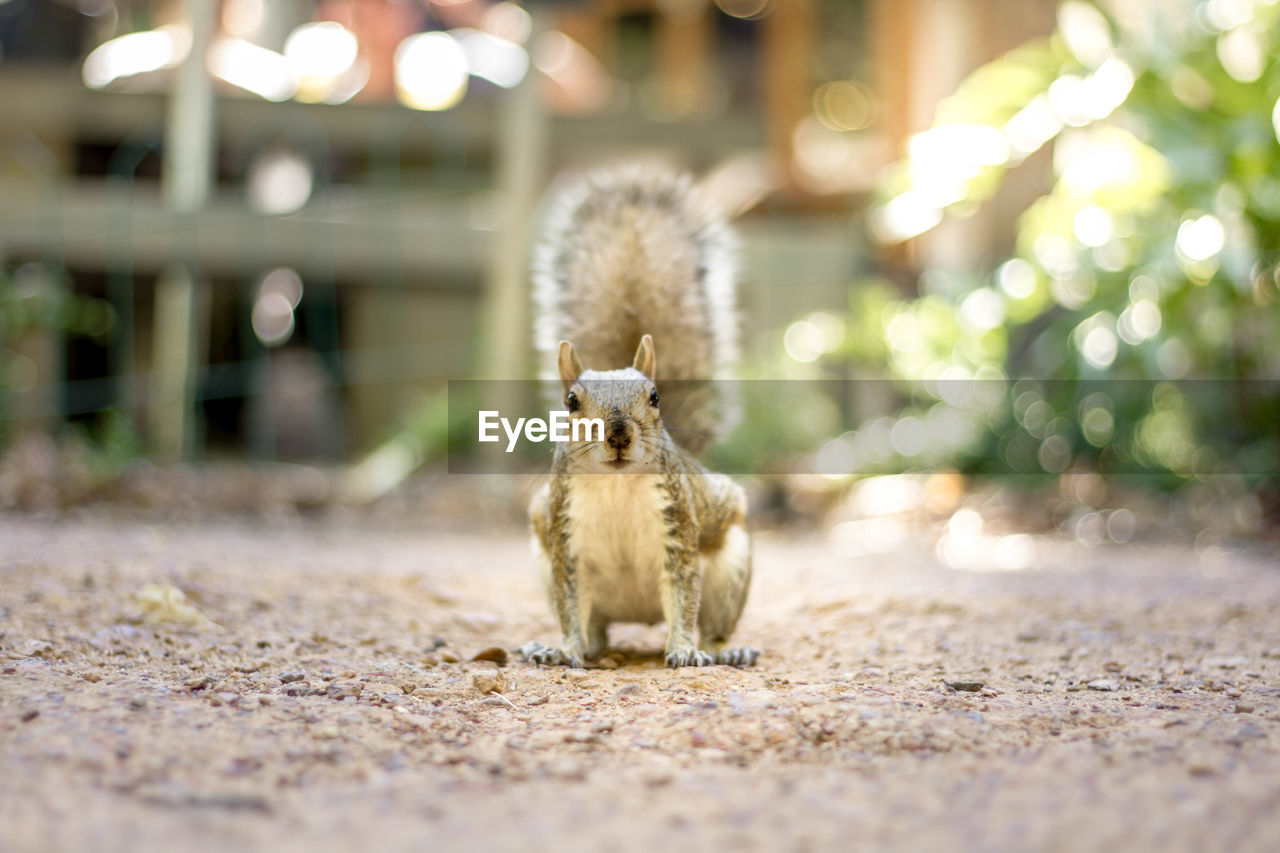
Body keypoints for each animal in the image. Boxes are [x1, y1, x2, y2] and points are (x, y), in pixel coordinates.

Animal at [519, 166, 757, 666]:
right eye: (570, 402)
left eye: (655, 397)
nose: (618, 435)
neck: (617, 485)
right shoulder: (564, 541)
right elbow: (570, 605)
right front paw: (564, 649)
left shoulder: (679, 529)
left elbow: (684, 596)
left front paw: (684, 650)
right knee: (595, 630)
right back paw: (563, 646)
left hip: (731, 565)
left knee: (712, 625)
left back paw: (727, 650)